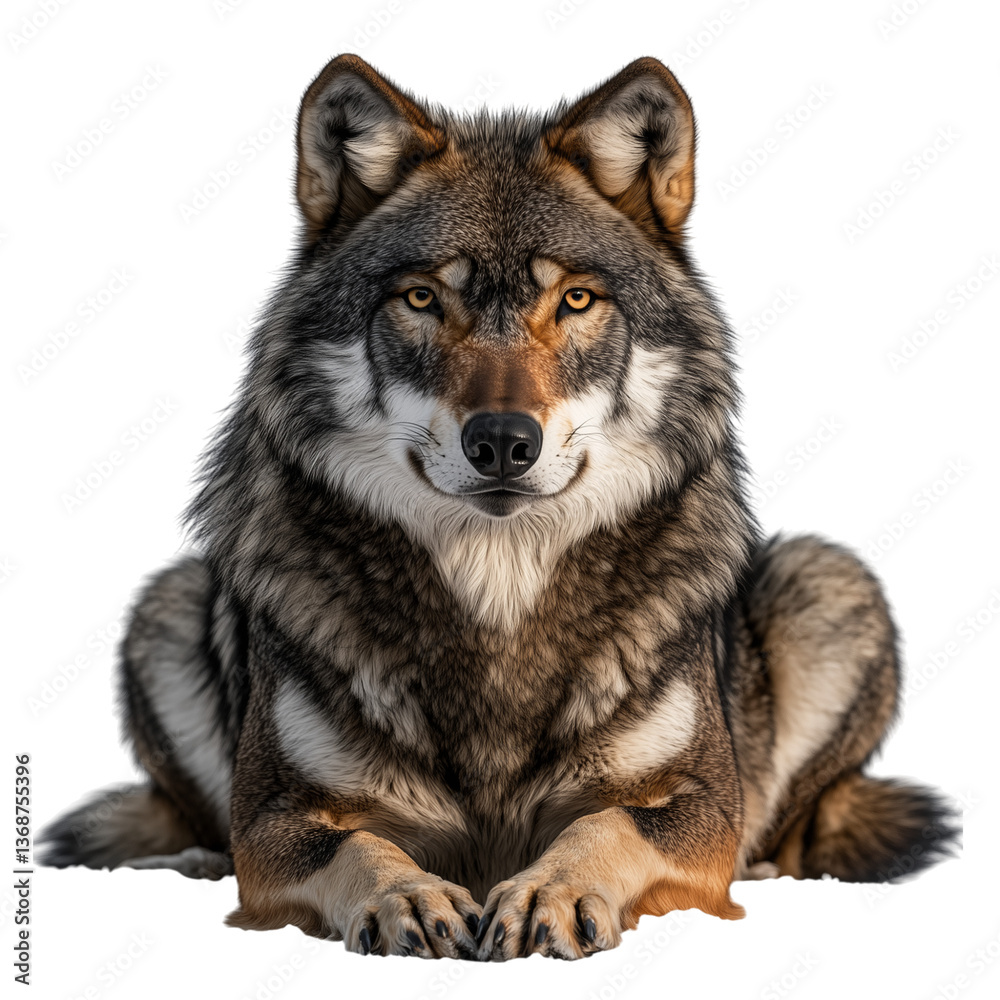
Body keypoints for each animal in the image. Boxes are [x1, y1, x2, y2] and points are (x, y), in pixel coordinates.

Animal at [41, 55, 957, 960]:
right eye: (421, 299)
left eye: (576, 300)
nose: (504, 442)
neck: (498, 593)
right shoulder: (273, 818)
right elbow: (358, 846)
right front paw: (408, 897)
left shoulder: (700, 802)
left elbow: (605, 825)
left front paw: (549, 892)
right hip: (165, 608)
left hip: (827, 578)